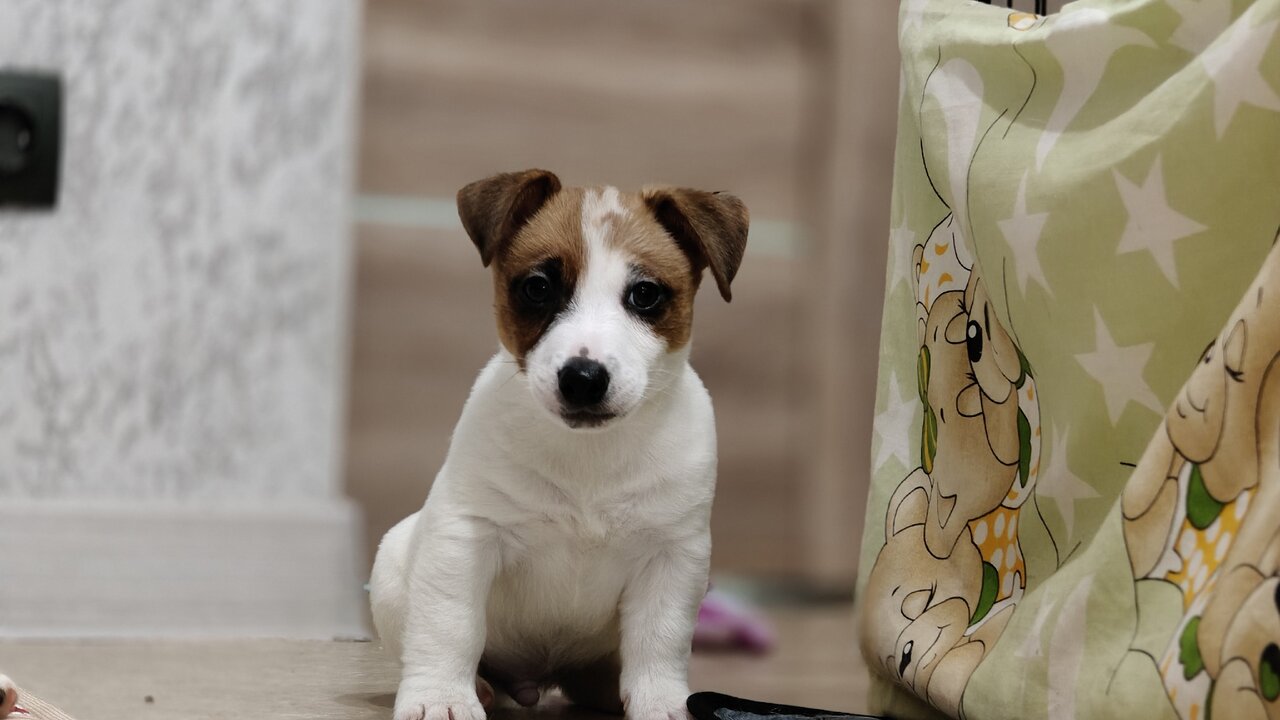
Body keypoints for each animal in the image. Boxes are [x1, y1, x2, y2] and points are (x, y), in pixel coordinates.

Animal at [369, 169, 749, 720]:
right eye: (538, 287)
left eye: (645, 294)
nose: (583, 379)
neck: (588, 457)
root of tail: (540, 678)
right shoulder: (465, 537)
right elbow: (450, 624)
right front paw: (441, 697)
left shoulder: (673, 556)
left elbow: (659, 640)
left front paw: (661, 701)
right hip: (395, 560)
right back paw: (480, 685)